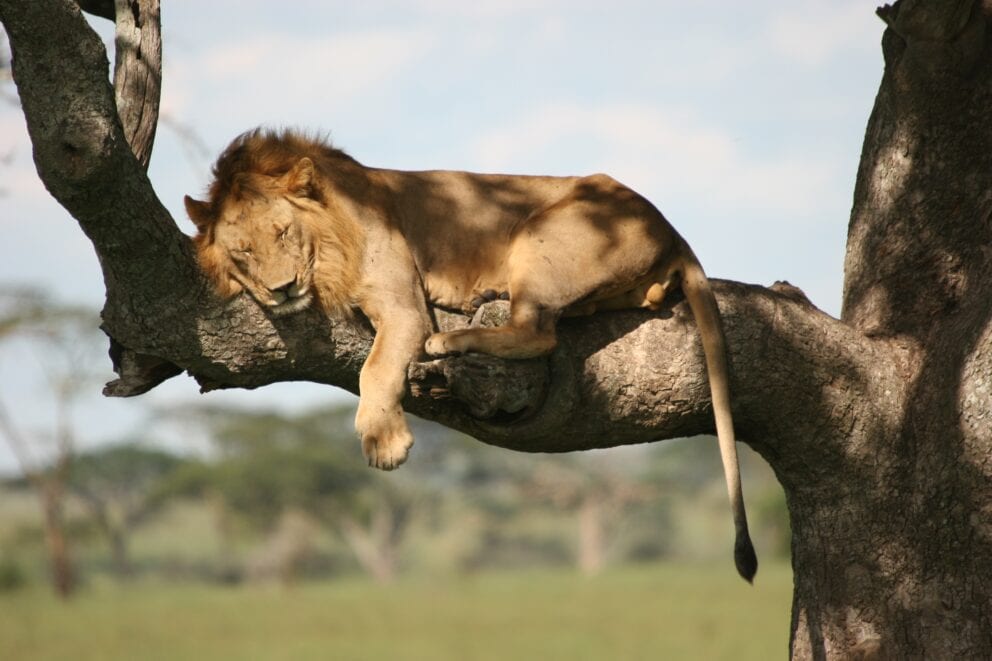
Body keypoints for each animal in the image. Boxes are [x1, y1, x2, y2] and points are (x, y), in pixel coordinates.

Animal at [184, 128, 757, 582]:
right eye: (244, 252)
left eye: (283, 232)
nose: (282, 289)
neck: (330, 238)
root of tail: (671, 229)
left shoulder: (403, 305)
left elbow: (376, 369)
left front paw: (384, 442)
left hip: (540, 232)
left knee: (538, 333)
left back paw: (453, 341)